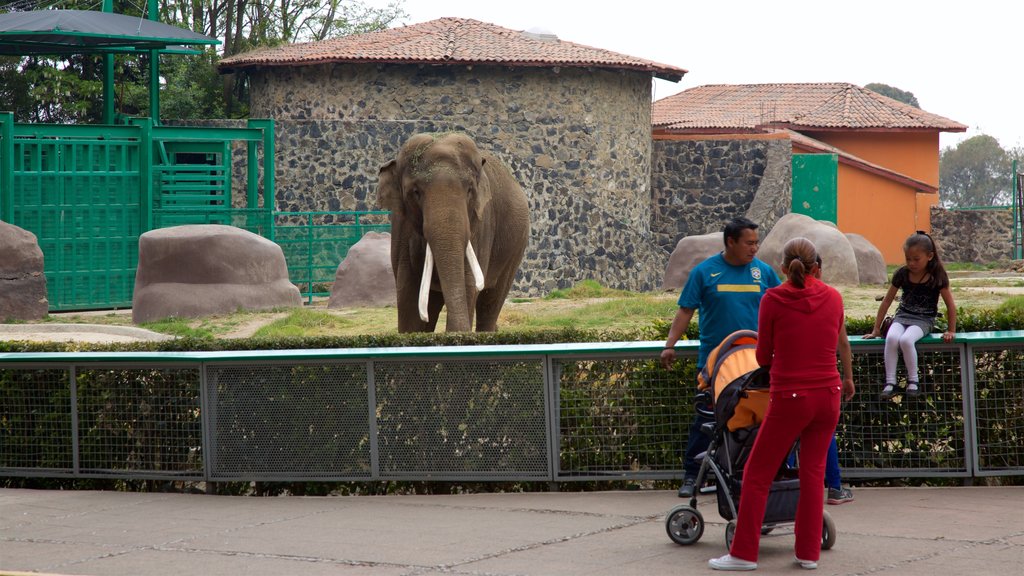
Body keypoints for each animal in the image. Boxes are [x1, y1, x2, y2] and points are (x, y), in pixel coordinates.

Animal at [380, 133, 532, 332]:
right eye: (415, 192)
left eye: (469, 190)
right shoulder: (402, 228)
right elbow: (409, 294)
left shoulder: (480, 225)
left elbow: (467, 283)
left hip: (515, 249)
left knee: (491, 301)